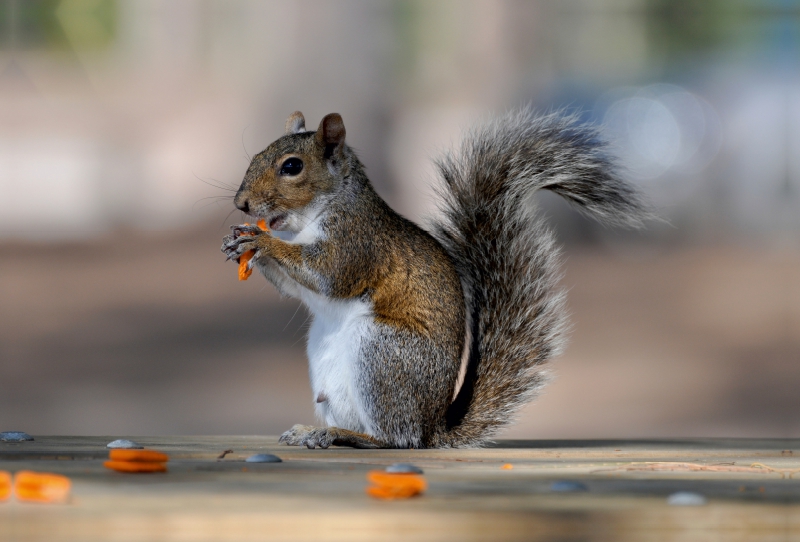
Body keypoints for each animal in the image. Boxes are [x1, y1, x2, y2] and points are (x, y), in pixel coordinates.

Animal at [222, 107, 648, 450]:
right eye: (257, 155)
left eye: (292, 167)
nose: (241, 204)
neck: (310, 218)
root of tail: (433, 428)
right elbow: (293, 286)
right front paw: (239, 243)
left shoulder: (356, 242)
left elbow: (328, 275)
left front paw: (261, 240)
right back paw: (309, 430)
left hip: (382, 352)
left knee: (396, 438)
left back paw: (340, 435)